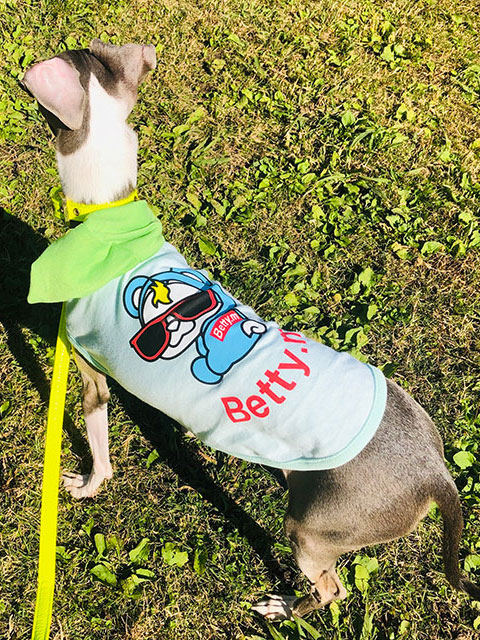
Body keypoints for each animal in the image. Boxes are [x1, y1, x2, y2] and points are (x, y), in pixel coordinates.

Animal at [22, 40, 480, 621]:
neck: (108, 214)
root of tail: (434, 472)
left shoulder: (89, 372)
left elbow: (100, 448)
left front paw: (84, 485)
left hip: (312, 529)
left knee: (332, 589)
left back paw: (283, 606)